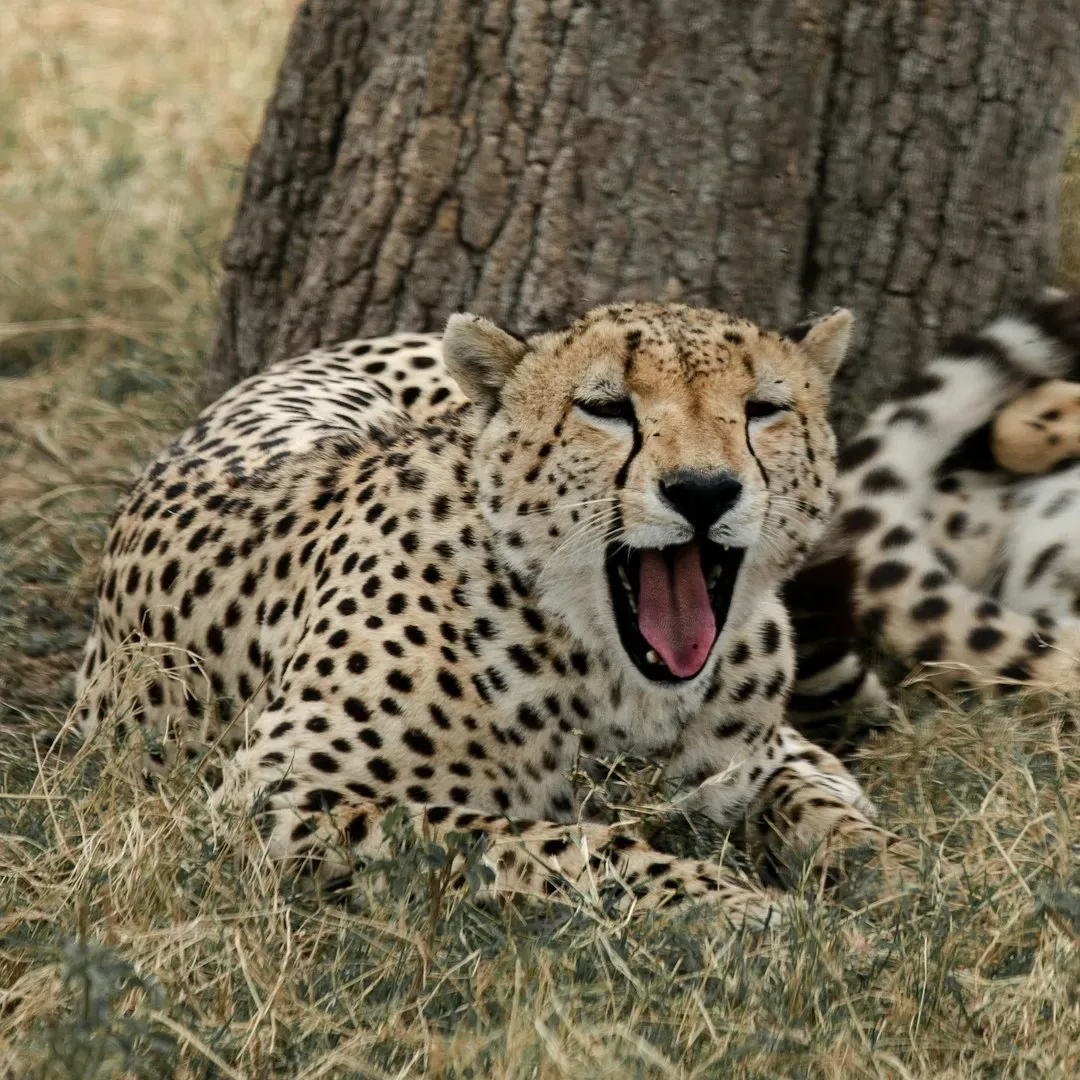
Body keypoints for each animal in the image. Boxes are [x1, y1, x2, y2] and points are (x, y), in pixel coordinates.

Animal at [76, 301, 917, 929]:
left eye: (763, 409)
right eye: (606, 409)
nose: (704, 490)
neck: (614, 677)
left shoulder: (763, 755)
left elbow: (822, 807)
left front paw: (899, 876)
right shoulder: (276, 796)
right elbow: (542, 841)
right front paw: (739, 909)